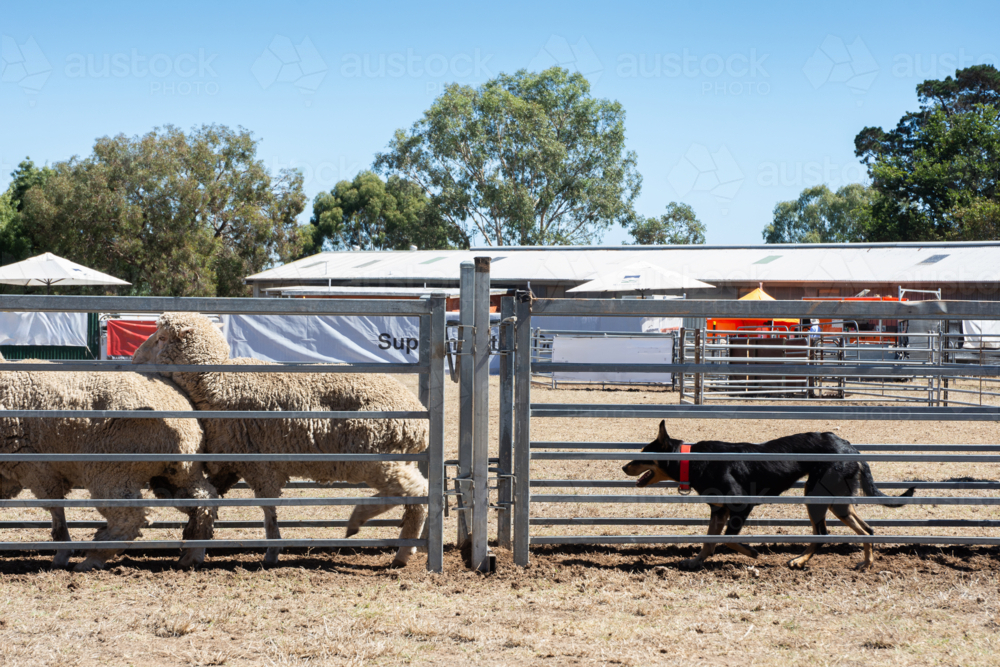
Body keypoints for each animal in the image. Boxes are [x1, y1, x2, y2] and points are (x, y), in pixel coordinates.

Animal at [0, 352, 217, 571]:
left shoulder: (34, 466)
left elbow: (56, 508)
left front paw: (63, 552)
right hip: (181, 471)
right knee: (203, 502)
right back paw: (193, 555)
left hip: (111, 470)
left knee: (129, 518)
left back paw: (94, 557)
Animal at [132, 312, 429, 567]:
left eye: (161, 338)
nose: (134, 358)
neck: (218, 382)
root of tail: (420, 421)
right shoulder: (230, 462)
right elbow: (206, 500)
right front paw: (190, 540)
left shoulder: (261, 466)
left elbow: (268, 512)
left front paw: (272, 551)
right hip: (394, 458)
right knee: (411, 494)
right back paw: (403, 544)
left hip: (375, 458)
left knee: (417, 492)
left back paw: (386, 540)